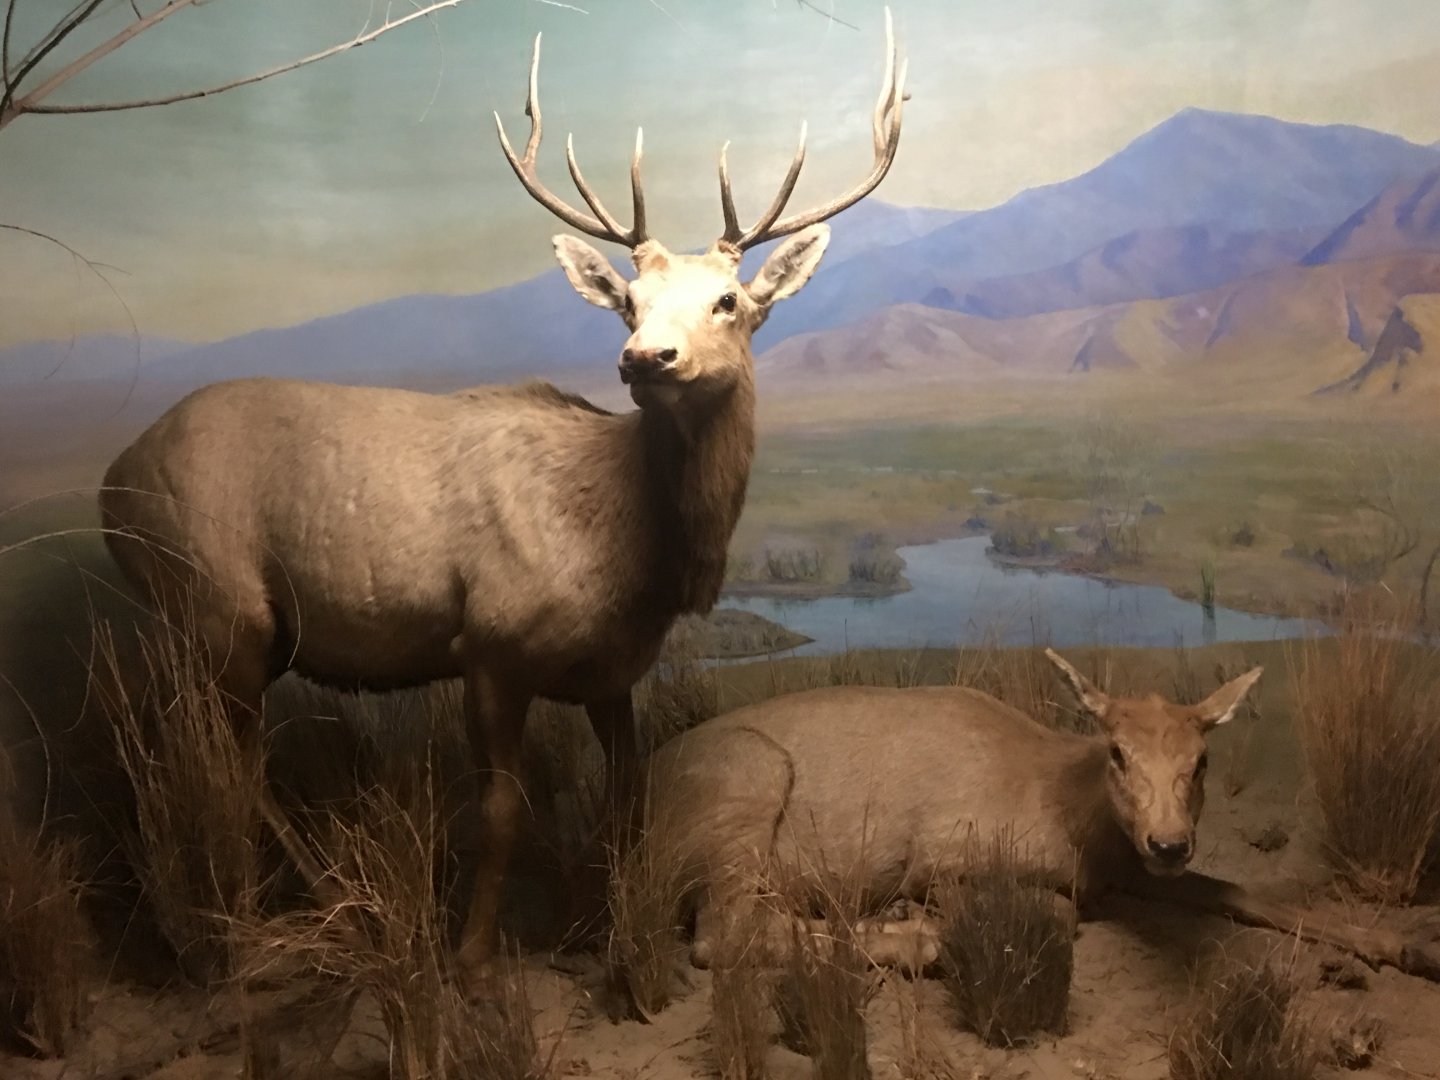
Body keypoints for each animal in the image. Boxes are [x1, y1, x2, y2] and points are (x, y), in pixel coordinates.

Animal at [96, 12, 908, 984]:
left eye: (727, 300)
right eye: (628, 300)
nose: (647, 357)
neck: (638, 561)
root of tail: (110, 483)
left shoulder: (614, 670)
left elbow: (627, 799)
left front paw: (610, 930)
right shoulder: (490, 644)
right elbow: (502, 811)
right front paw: (473, 952)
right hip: (221, 604)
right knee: (225, 761)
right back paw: (307, 911)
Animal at [638, 649, 1440, 983]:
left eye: (1202, 759)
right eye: (1117, 751)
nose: (1169, 841)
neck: (1070, 813)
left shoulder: (1128, 869)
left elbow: (1240, 891)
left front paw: (1405, 947)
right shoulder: (947, 855)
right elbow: (1057, 915)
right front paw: (928, 925)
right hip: (749, 789)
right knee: (719, 933)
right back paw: (916, 940)